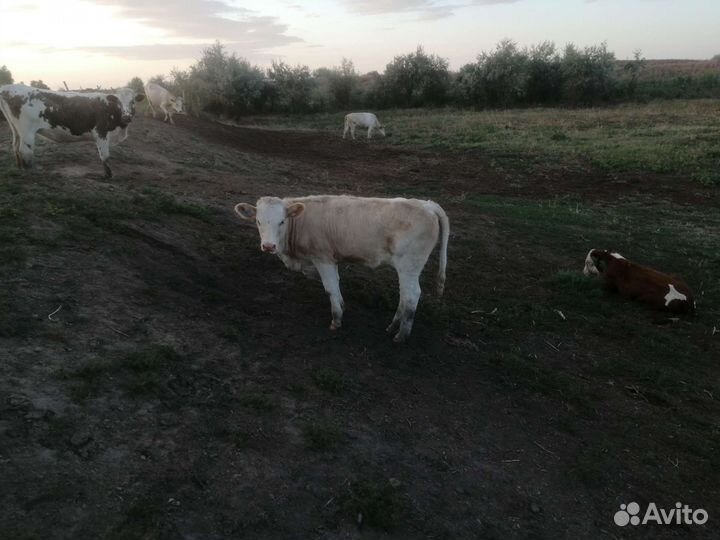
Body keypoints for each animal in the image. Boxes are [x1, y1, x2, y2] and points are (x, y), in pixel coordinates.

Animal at [0, 84, 144, 178]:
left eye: (133, 101)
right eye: (118, 102)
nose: (126, 117)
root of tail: (7, 88)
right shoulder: (101, 133)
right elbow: (105, 156)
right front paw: (108, 175)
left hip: (17, 130)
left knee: (15, 147)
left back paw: (20, 168)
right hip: (27, 132)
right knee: (25, 151)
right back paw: (30, 172)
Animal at [235, 195, 450, 342]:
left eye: (282, 221)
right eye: (258, 221)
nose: (269, 246)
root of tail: (427, 204)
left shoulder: (323, 259)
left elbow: (330, 288)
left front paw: (336, 320)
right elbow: (337, 286)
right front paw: (342, 306)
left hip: (409, 265)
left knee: (412, 296)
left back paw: (401, 335)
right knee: (405, 296)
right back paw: (393, 326)